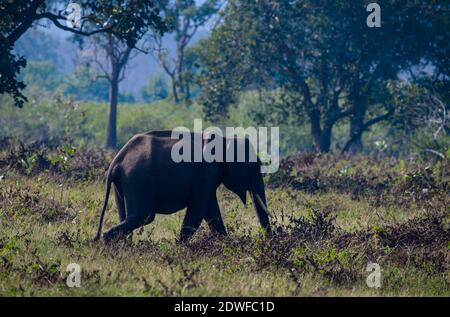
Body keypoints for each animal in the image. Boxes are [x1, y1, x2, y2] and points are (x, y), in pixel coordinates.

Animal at [94, 130, 270, 241]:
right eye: (252, 167)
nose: (269, 240)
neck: (226, 140)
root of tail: (117, 160)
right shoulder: (206, 171)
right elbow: (199, 209)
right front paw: (180, 248)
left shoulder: (208, 176)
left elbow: (210, 211)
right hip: (137, 180)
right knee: (143, 216)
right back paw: (106, 240)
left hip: (123, 184)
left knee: (125, 216)